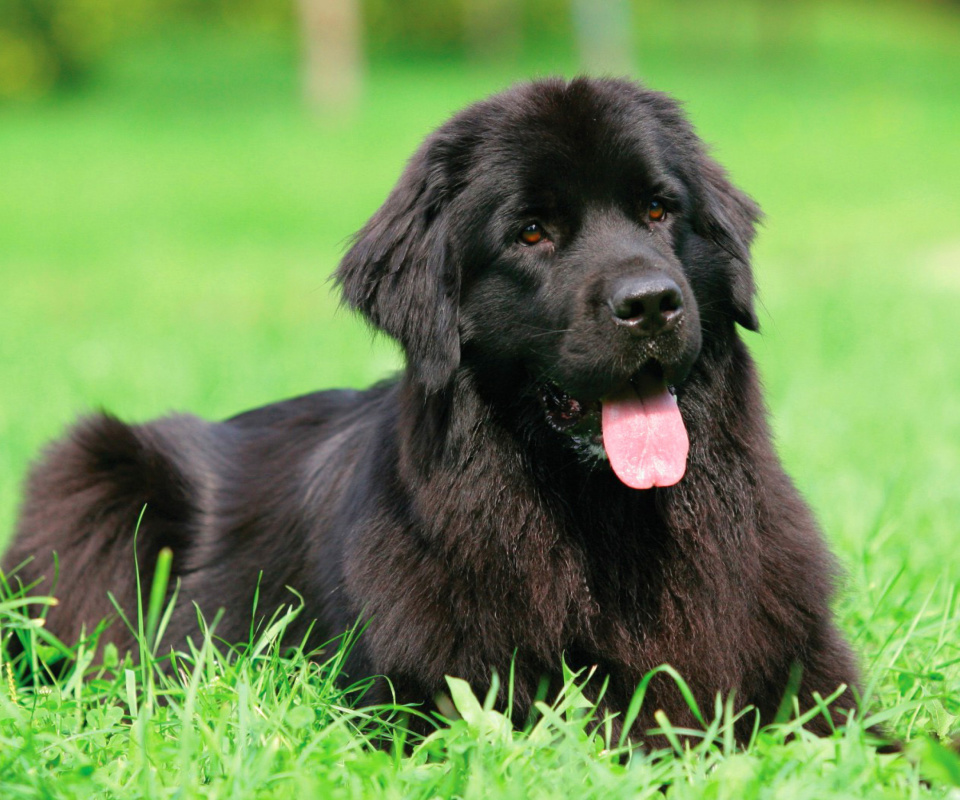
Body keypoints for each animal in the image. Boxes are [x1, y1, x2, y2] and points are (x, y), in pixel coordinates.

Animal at [1, 79, 872, 744]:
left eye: (660, 211)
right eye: (531, 232)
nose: (652, 302)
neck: (608, 525)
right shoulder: (432, 697)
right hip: (94, 468)